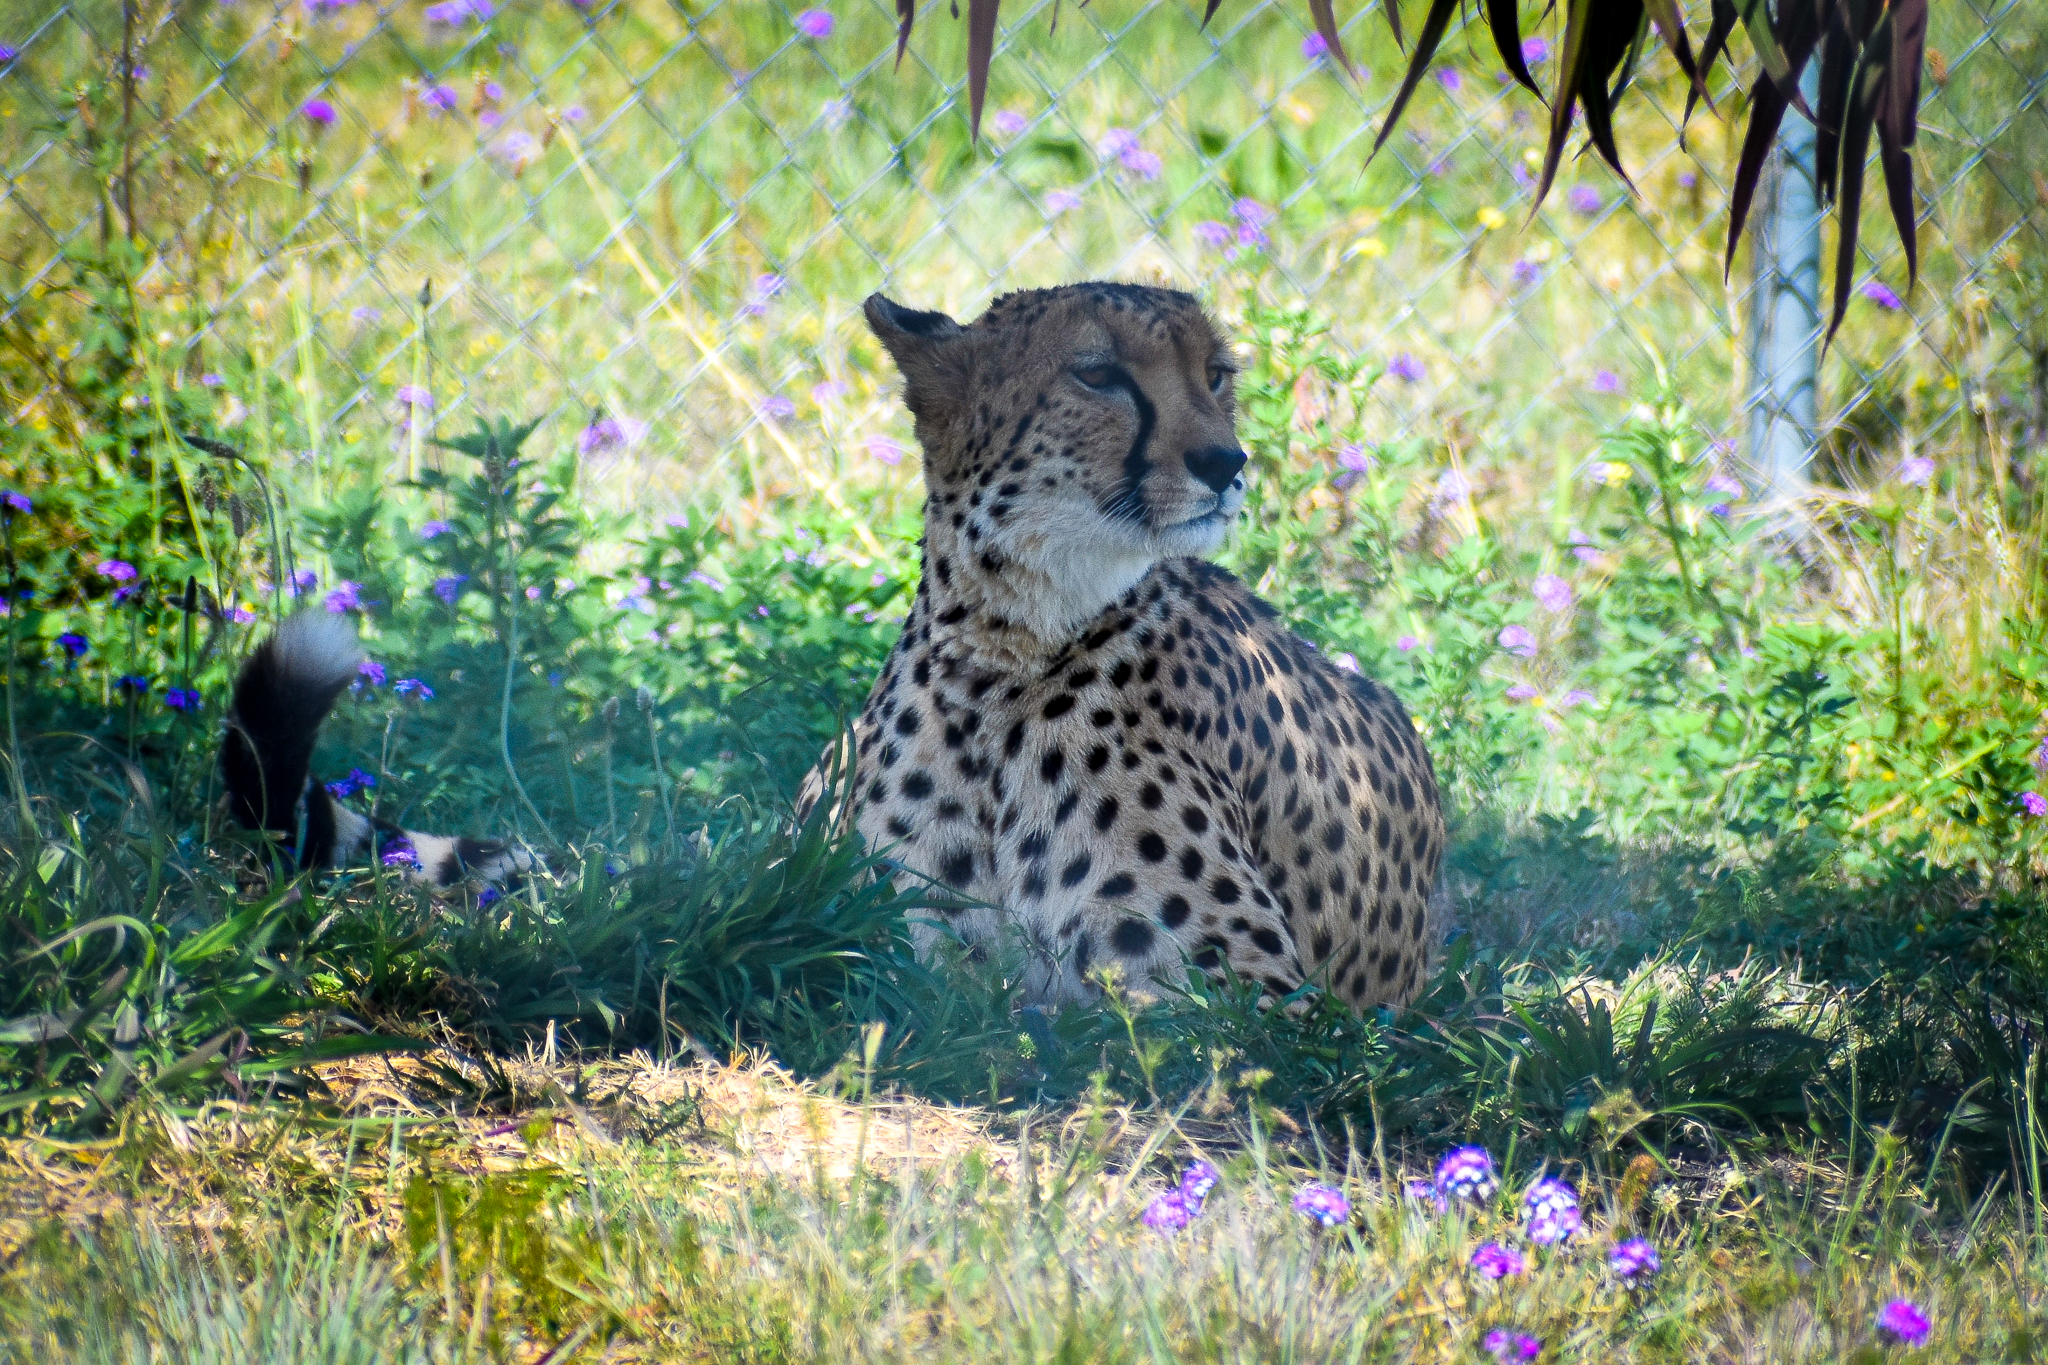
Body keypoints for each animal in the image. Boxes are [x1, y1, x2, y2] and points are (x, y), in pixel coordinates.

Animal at [807, 282, 1444, 1011]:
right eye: (1099, 375)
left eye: (1215, 375)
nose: (1226, 462)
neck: (1001, 650)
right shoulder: (903, 962)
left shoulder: (1253, 997)